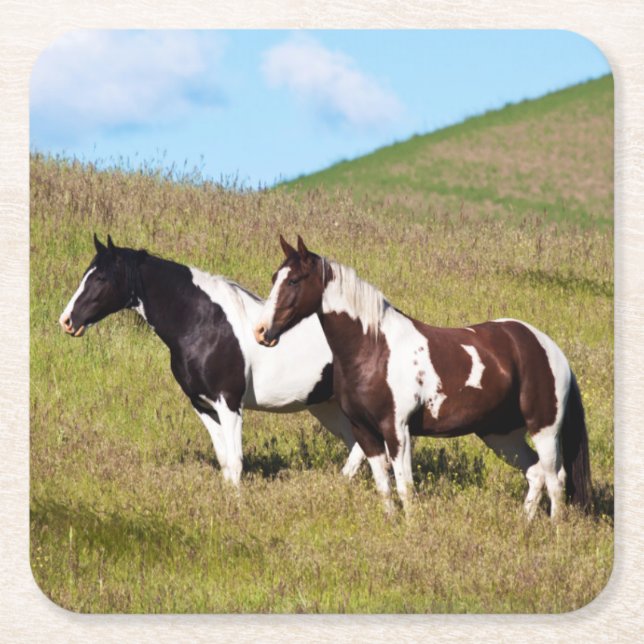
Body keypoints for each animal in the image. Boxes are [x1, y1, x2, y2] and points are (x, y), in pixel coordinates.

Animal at [59, 234, 366, 485]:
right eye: (87, 274)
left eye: (100, 278)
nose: (67, 320)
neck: (204, 324)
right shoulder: (202, 404)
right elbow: (225, 462)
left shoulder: (229, 402)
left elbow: (236, 462)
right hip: (325, 405)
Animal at [254, 235, 592, 519]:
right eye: (274, 278)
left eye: (294, 280)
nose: (262, 332)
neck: (373, 348)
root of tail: (548, 348)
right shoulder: (364, 431)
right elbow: (383, 486)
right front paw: (392, 523)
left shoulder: (398, 430)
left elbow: (405, 486)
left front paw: (412, 527)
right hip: (500, 433)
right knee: (535, 473)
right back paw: (525, 524)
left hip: (544, 429)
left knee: (556, 478)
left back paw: (555, 530)